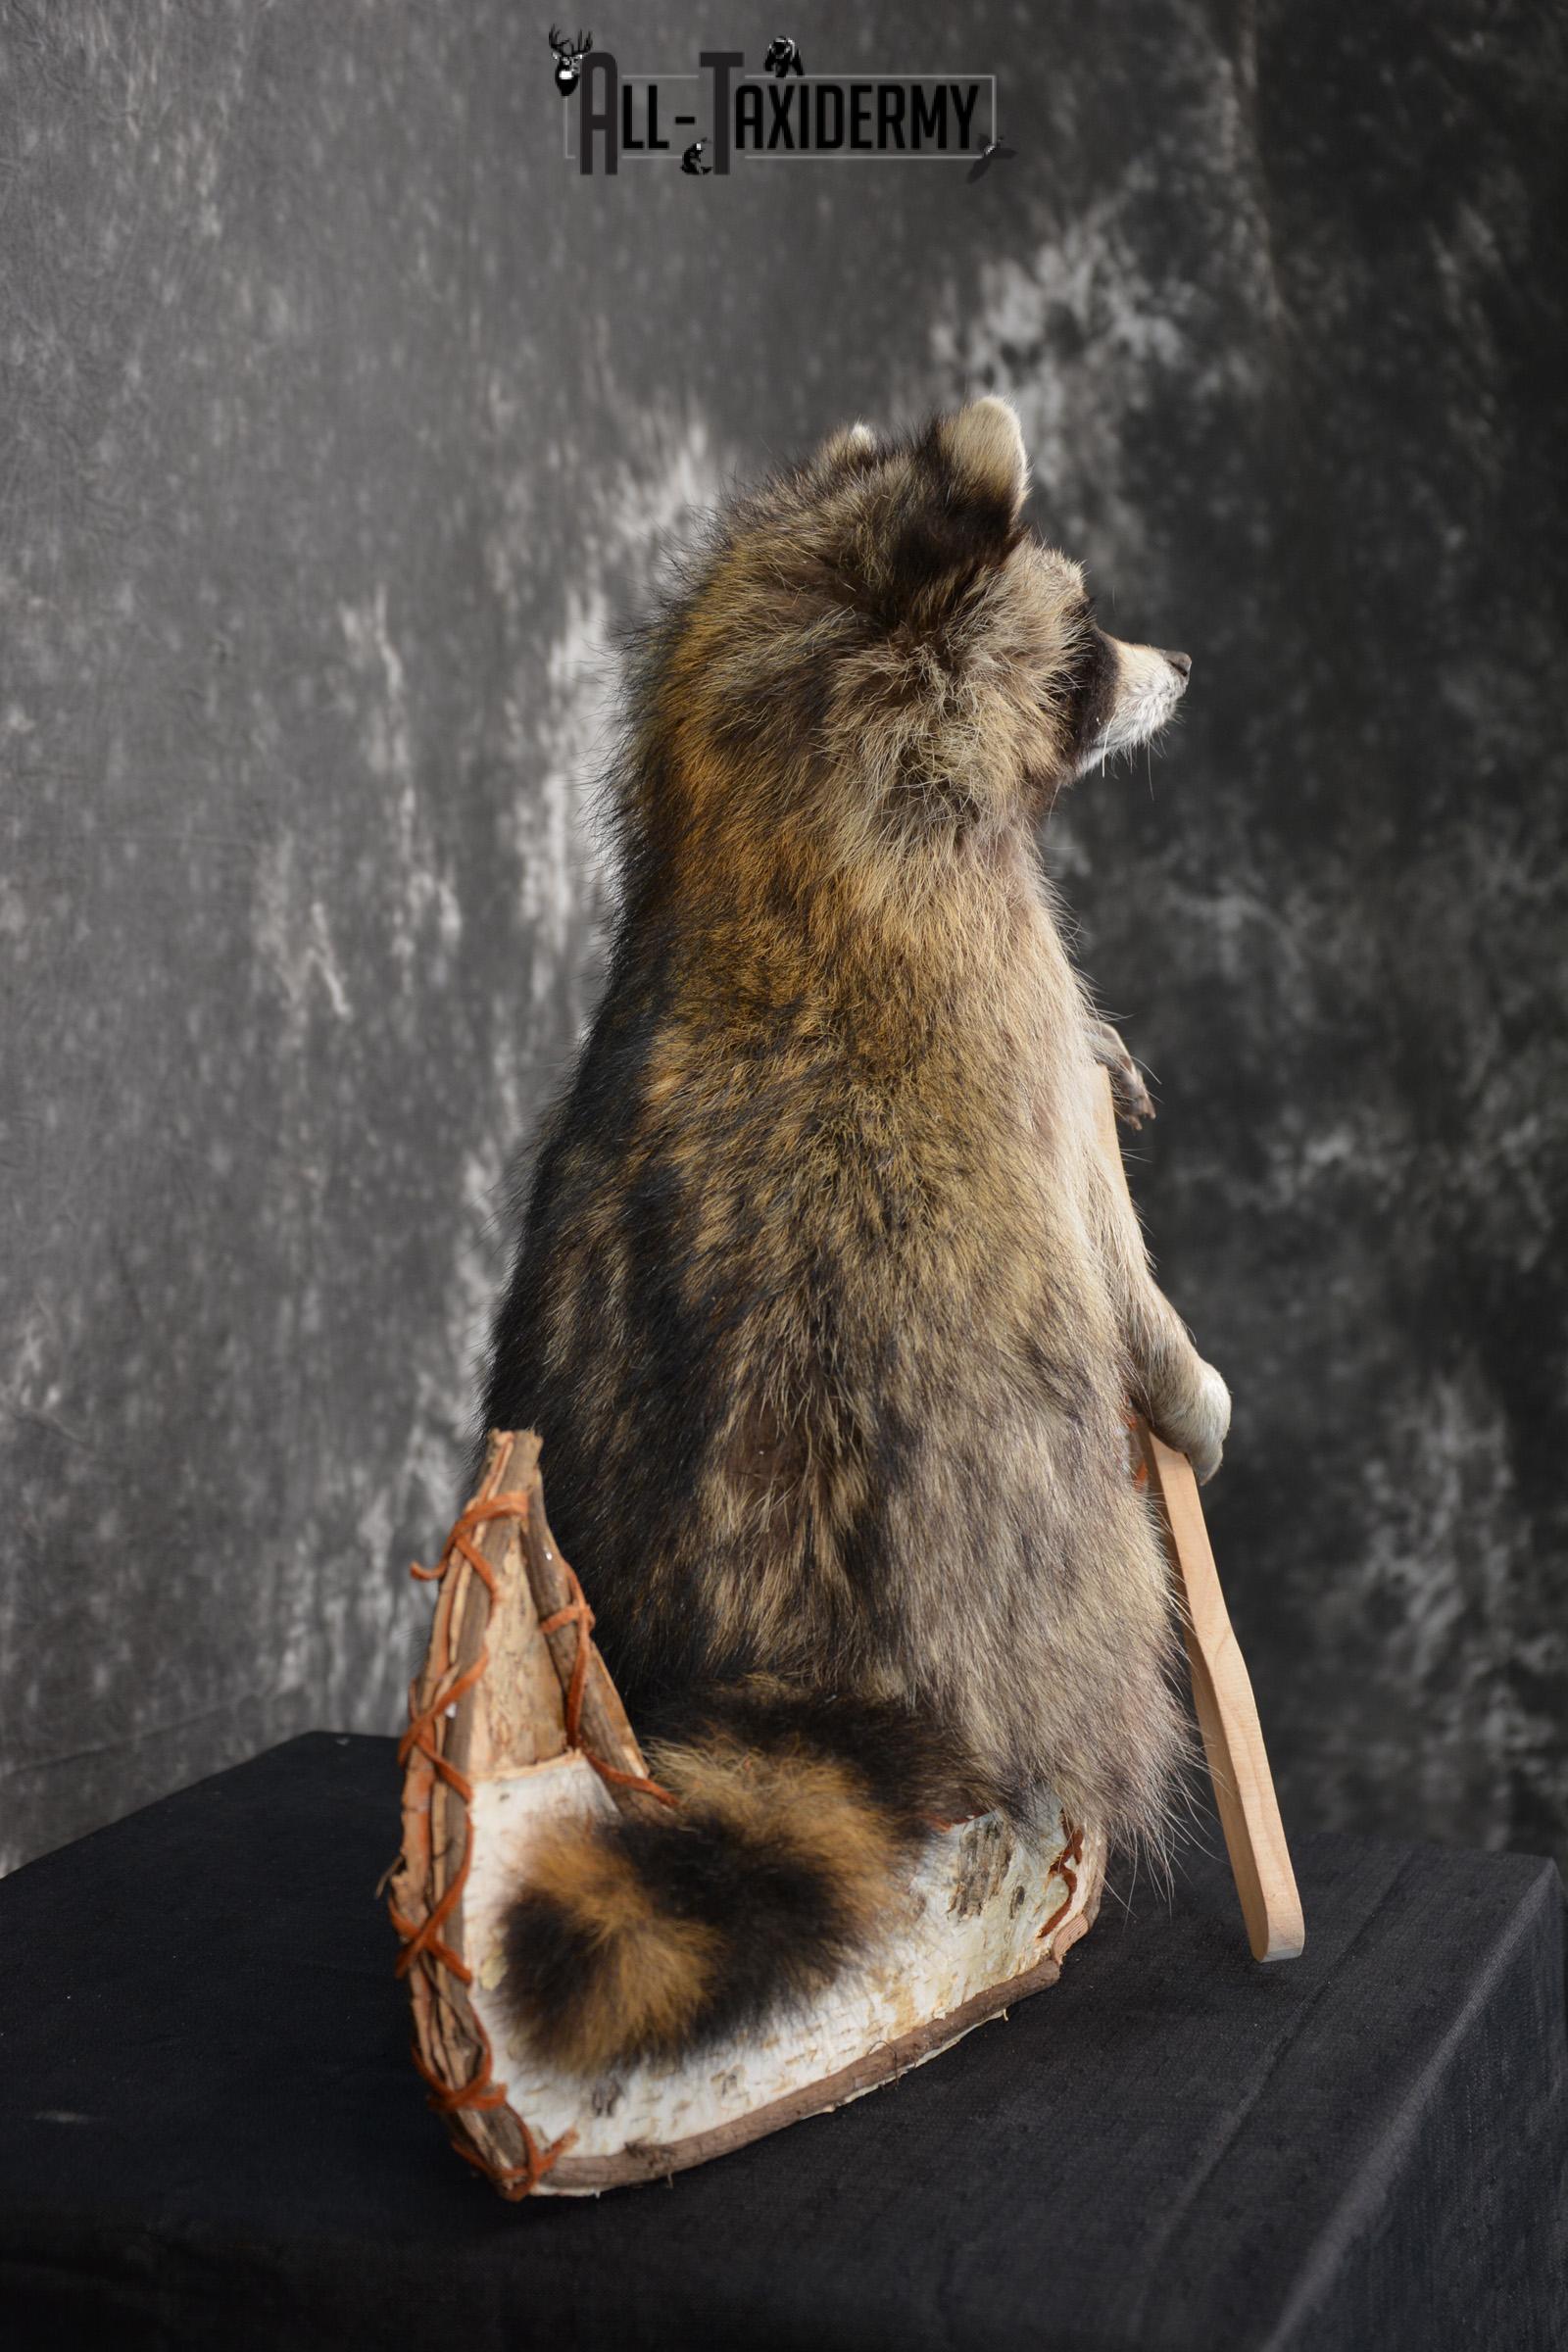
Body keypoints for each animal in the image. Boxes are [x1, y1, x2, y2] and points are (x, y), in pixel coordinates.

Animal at [481, 398, 1230, 2077]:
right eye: (1086, 637)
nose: (1186, 664)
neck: (774, 816)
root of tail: (799, 1651)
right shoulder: (1008, 991)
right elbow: (1101, 1236)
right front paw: (1188, 1378)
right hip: (1032, 1540)